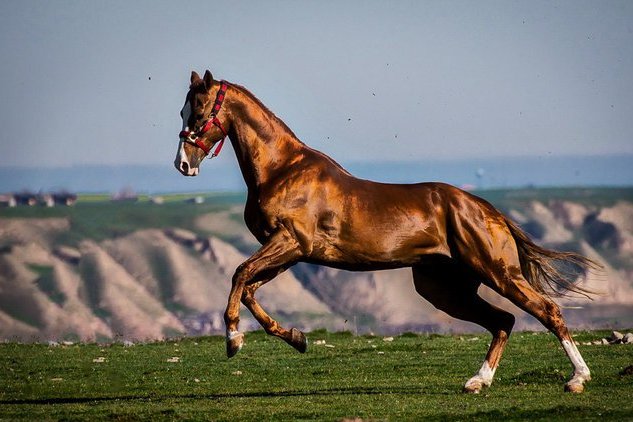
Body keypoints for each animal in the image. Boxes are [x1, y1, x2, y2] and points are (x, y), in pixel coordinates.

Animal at [174, 69, 596, 392]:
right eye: (182, 111)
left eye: (198, 111)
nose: (182, 163)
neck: (283, 169)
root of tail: (488, 211)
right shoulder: (289, 252)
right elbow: (249, 289)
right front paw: (296, 338)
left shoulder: (290, 242)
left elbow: (239, 274)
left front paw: (233, 340)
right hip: (444, 288)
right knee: (503, 321)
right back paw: (478, 381)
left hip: (496, 271)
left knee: (547, 310)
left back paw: (577, 378)